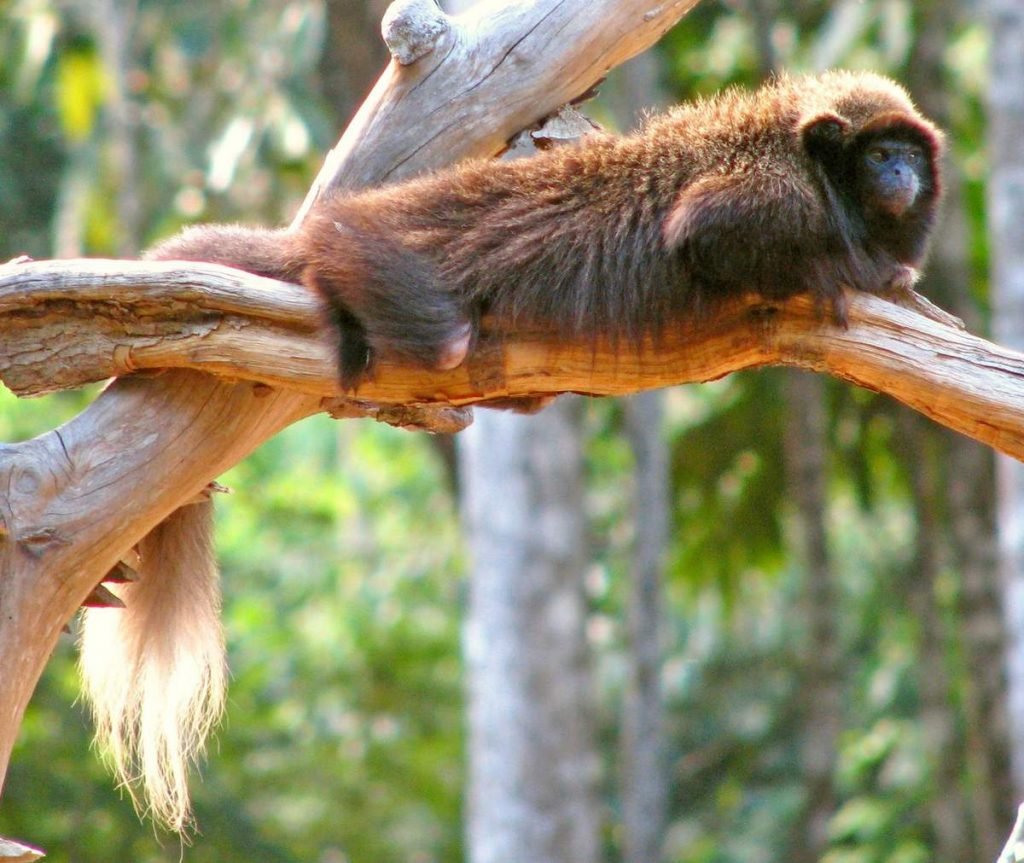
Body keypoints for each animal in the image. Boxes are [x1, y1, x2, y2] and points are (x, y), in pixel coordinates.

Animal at [79, 70, 942, 835]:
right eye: (878, 154)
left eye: (908, 154)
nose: (901, 173)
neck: (812, 164)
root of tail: (326, 228)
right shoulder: (770, 190)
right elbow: (706, 230)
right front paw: (851, 269)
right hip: (367, 248)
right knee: (438, 333)